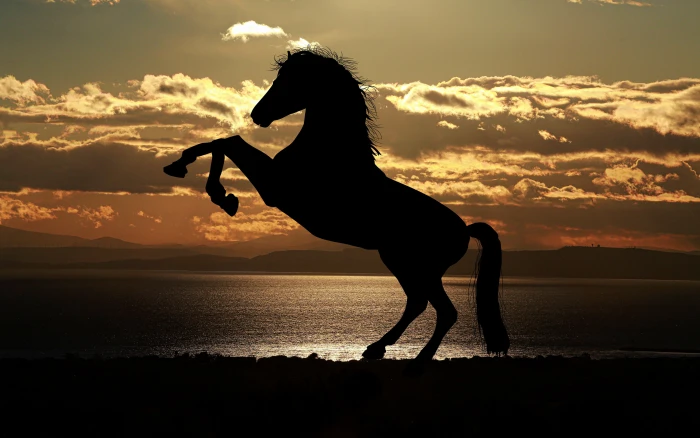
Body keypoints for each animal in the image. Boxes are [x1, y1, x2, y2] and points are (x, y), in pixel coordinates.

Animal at [163, 47, 509, 366]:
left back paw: (417, 360)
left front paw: (218, 193)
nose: (257, 114)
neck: (329, 152)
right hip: (403, 263)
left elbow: (229, 142)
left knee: (443, 311)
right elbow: (222, 142)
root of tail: (464, 230)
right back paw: (376, 349)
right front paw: (185, 170)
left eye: (288, 79)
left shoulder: (275, 186)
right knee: (418, 303)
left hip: (415, 266)